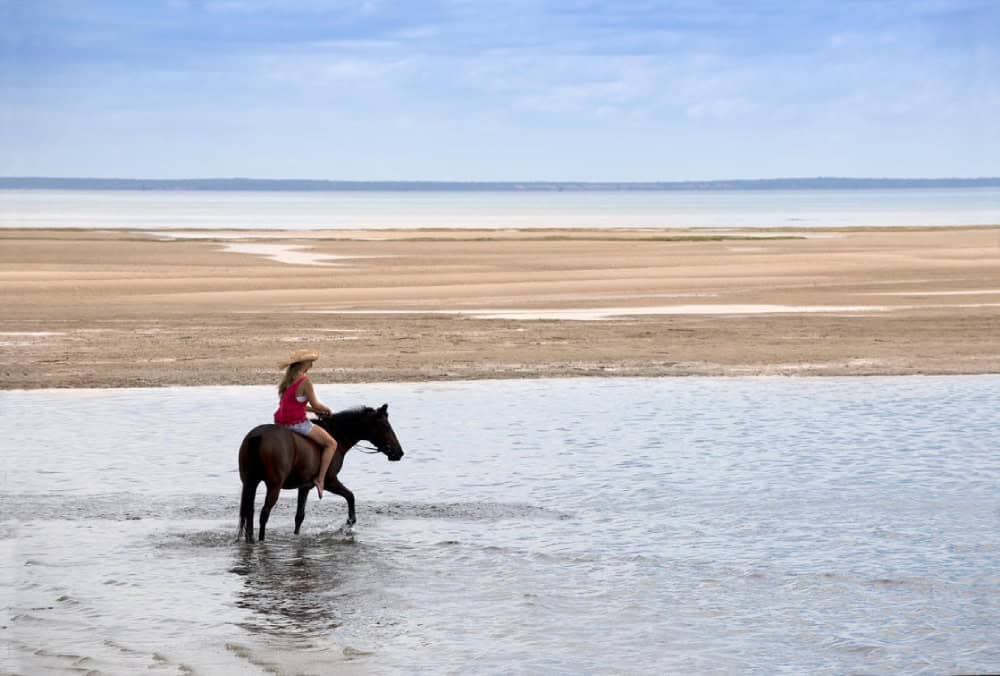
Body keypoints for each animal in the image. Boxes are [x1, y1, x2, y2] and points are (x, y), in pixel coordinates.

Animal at [236, 402, 404, 544]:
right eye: (386, 426)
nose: (399, 452)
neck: (337, 436)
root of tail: (258, 436)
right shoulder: (329, 481)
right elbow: (350, 496)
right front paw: (348, 524)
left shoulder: (304, 486)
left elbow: (299, 516)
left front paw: (296, 536)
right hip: (274, 486)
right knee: (264, 514)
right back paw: (261, 540)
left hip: (249, 482)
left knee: (249, 511)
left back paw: (250, 540)